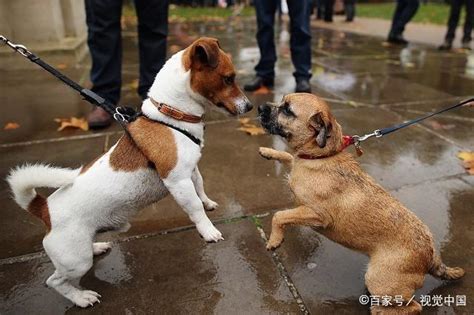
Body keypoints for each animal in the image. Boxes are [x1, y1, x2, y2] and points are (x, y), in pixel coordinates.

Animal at [6, 37, 252, 308]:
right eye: (228, 78)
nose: (250, 106)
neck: (171, 116)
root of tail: (44, 209)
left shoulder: (192, 170)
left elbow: (201, 187)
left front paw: (208, 203)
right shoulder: (177, 180)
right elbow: (195, 209)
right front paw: (207, 230)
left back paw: (97, 247)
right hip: (75, 260)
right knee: (55, 281)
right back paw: (81, 297)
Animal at [258, 92, 464, 314]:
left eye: (288, 110)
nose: (260, 107)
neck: (322, 155)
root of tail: (431, 254)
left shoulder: (318, 215)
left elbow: (280, 215)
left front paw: (274, 240)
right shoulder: (297, 166)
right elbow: (288, 156)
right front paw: (268, 151)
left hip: (379, 280)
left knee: (413, 307)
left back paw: (379, 309)